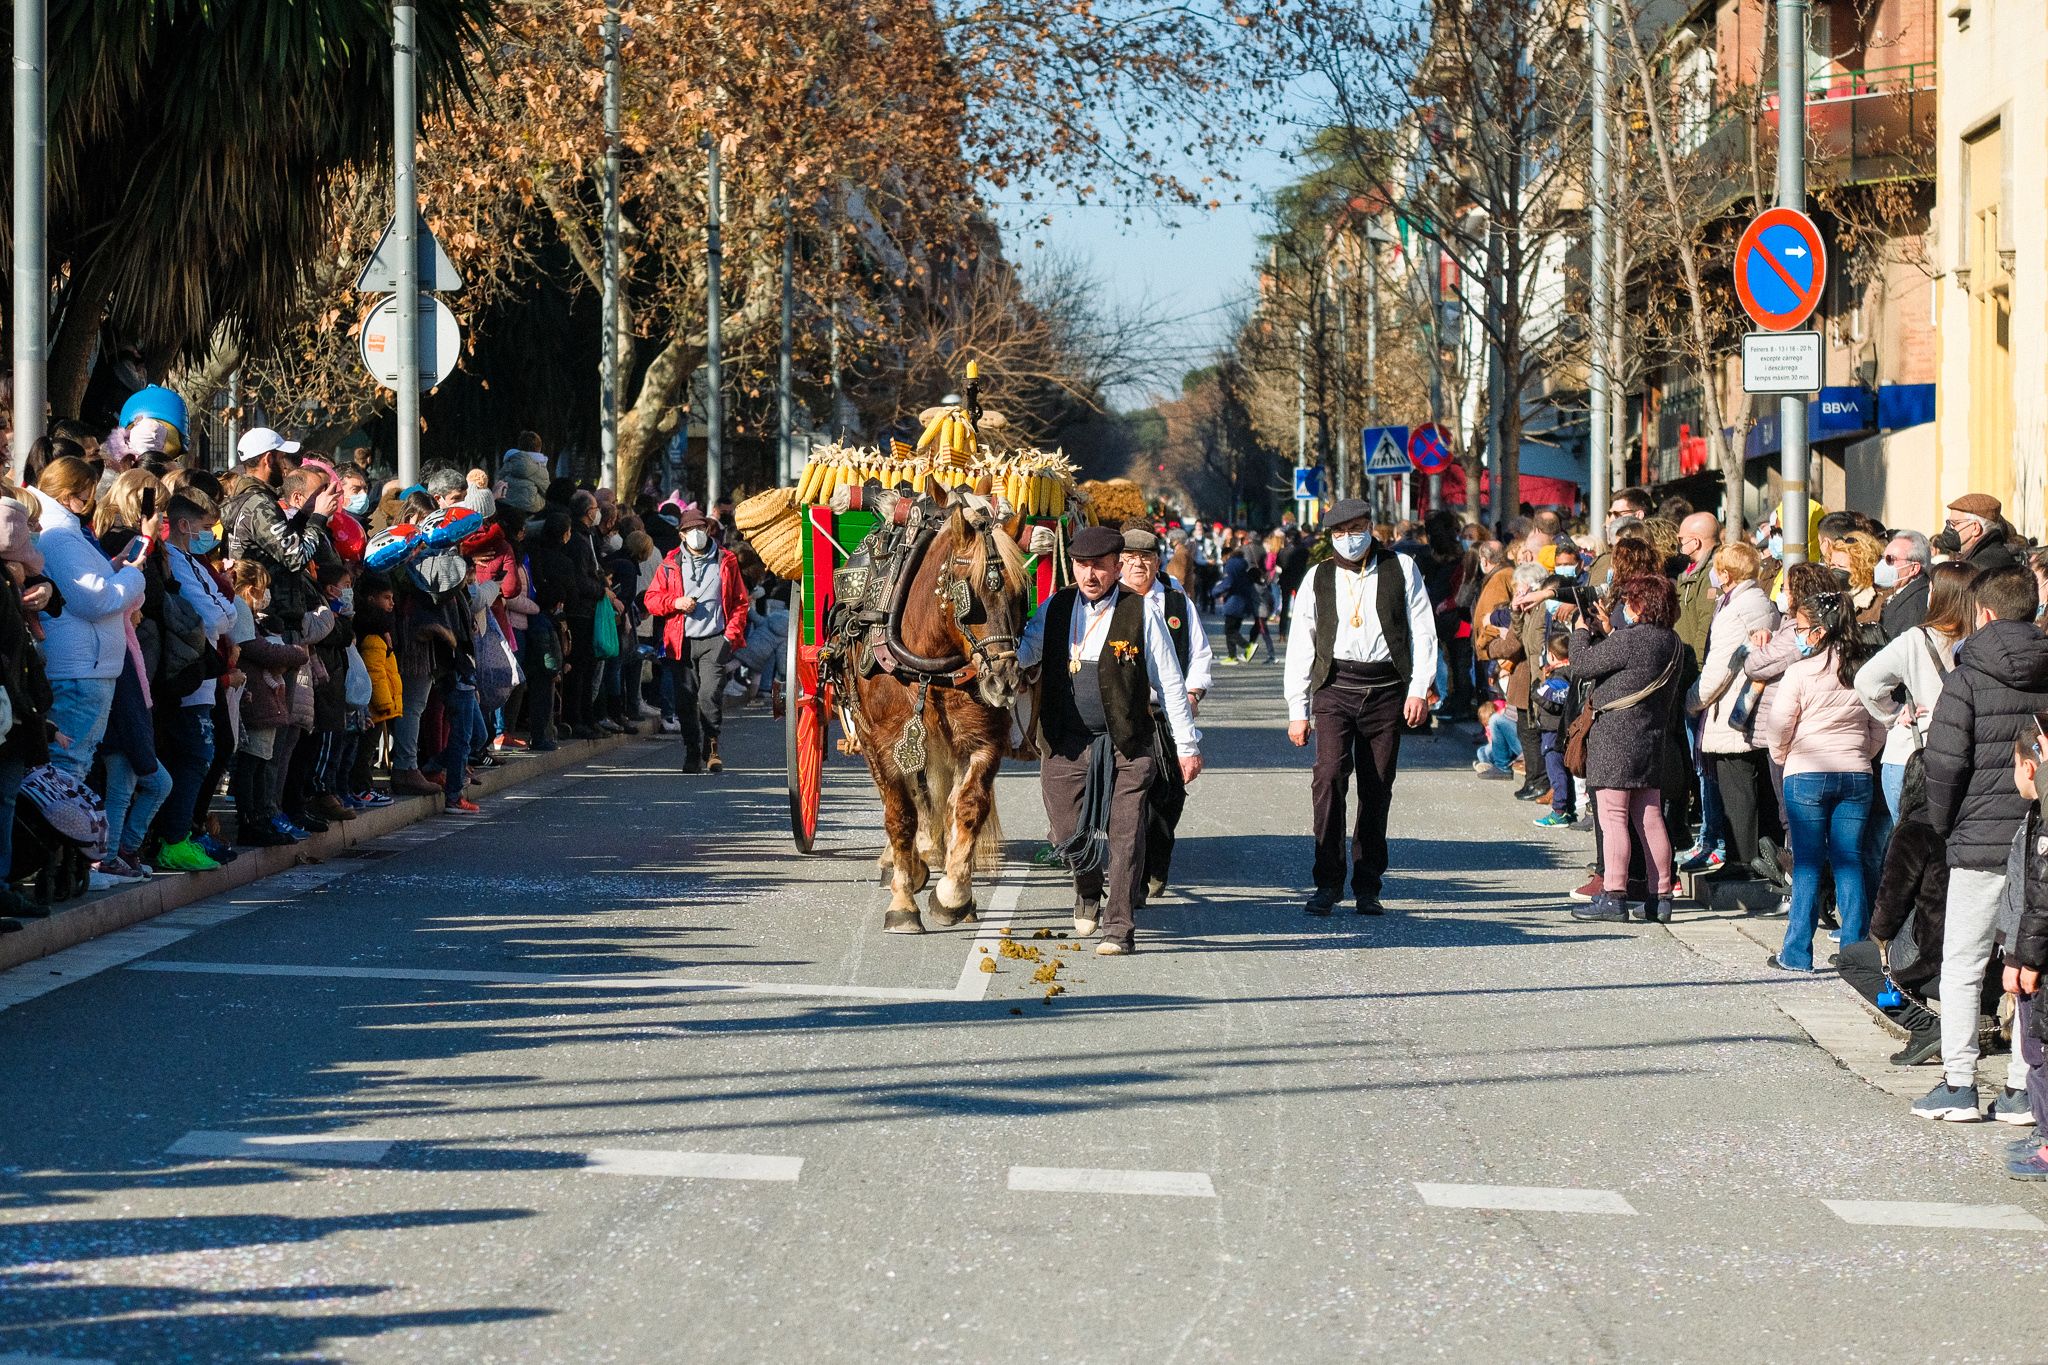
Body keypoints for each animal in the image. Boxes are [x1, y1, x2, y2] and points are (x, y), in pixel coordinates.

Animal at [847, 497, 1032, 933]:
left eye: (1022, 595)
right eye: (970, 598)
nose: (1004, 682)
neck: (930, 665)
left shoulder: (983, 740)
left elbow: (967, 807)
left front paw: (954, 894)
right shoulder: (884, 743)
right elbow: (900, 815)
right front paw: (902, 901)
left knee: (940, 798)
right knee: (911, 799)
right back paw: (908, 864)